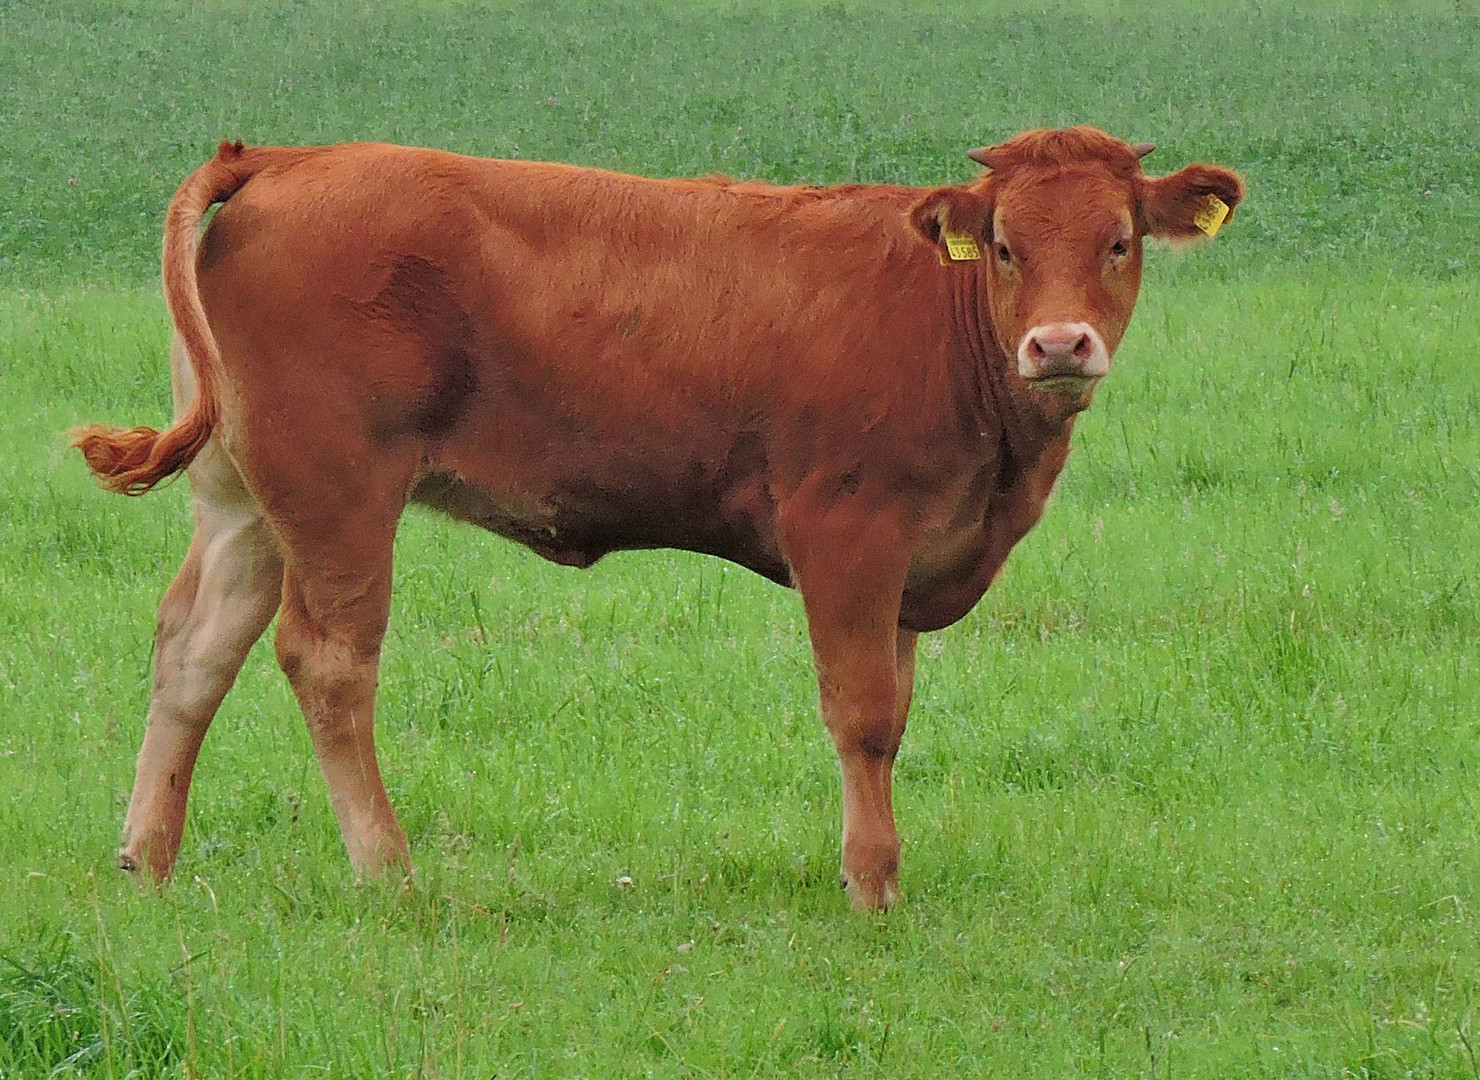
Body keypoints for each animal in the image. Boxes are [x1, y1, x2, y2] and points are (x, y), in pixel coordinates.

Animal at [75, 127, 1243, 911]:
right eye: (1003, 246)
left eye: (1119, 243)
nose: (1060, 345)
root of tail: (290, 155)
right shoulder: (847, 530)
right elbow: (863, 714)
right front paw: (872, 885)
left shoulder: (915, 558)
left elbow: (896, 715)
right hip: (339, 490)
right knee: (327, 661)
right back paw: (388, 869)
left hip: (245, 499)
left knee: (194, 648)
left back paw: (147, 859)